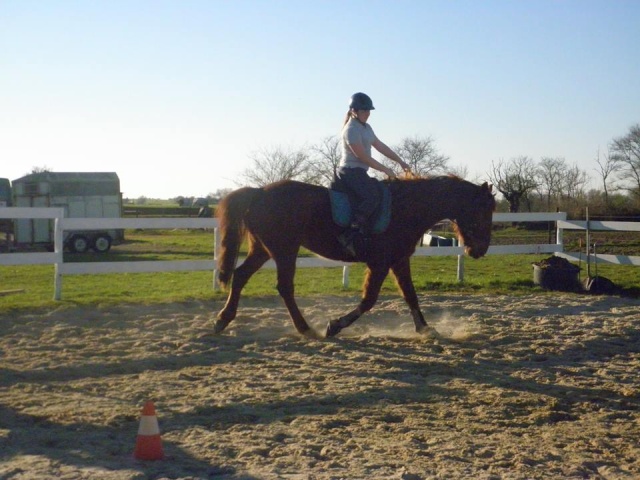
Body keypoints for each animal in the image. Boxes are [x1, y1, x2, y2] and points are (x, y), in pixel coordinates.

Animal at [214, 175, 496, 338]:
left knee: (240, 276)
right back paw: (305, 328)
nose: (480, 250)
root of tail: (259, 191)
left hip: (263, 249)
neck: (407, 208)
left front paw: (425, 329)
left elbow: (410, 295)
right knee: (284, 287)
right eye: (482, 210)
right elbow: (369, 300)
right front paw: (335, 325)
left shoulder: (398, 260)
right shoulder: (380, 263)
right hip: (284, 251)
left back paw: (223, 319)